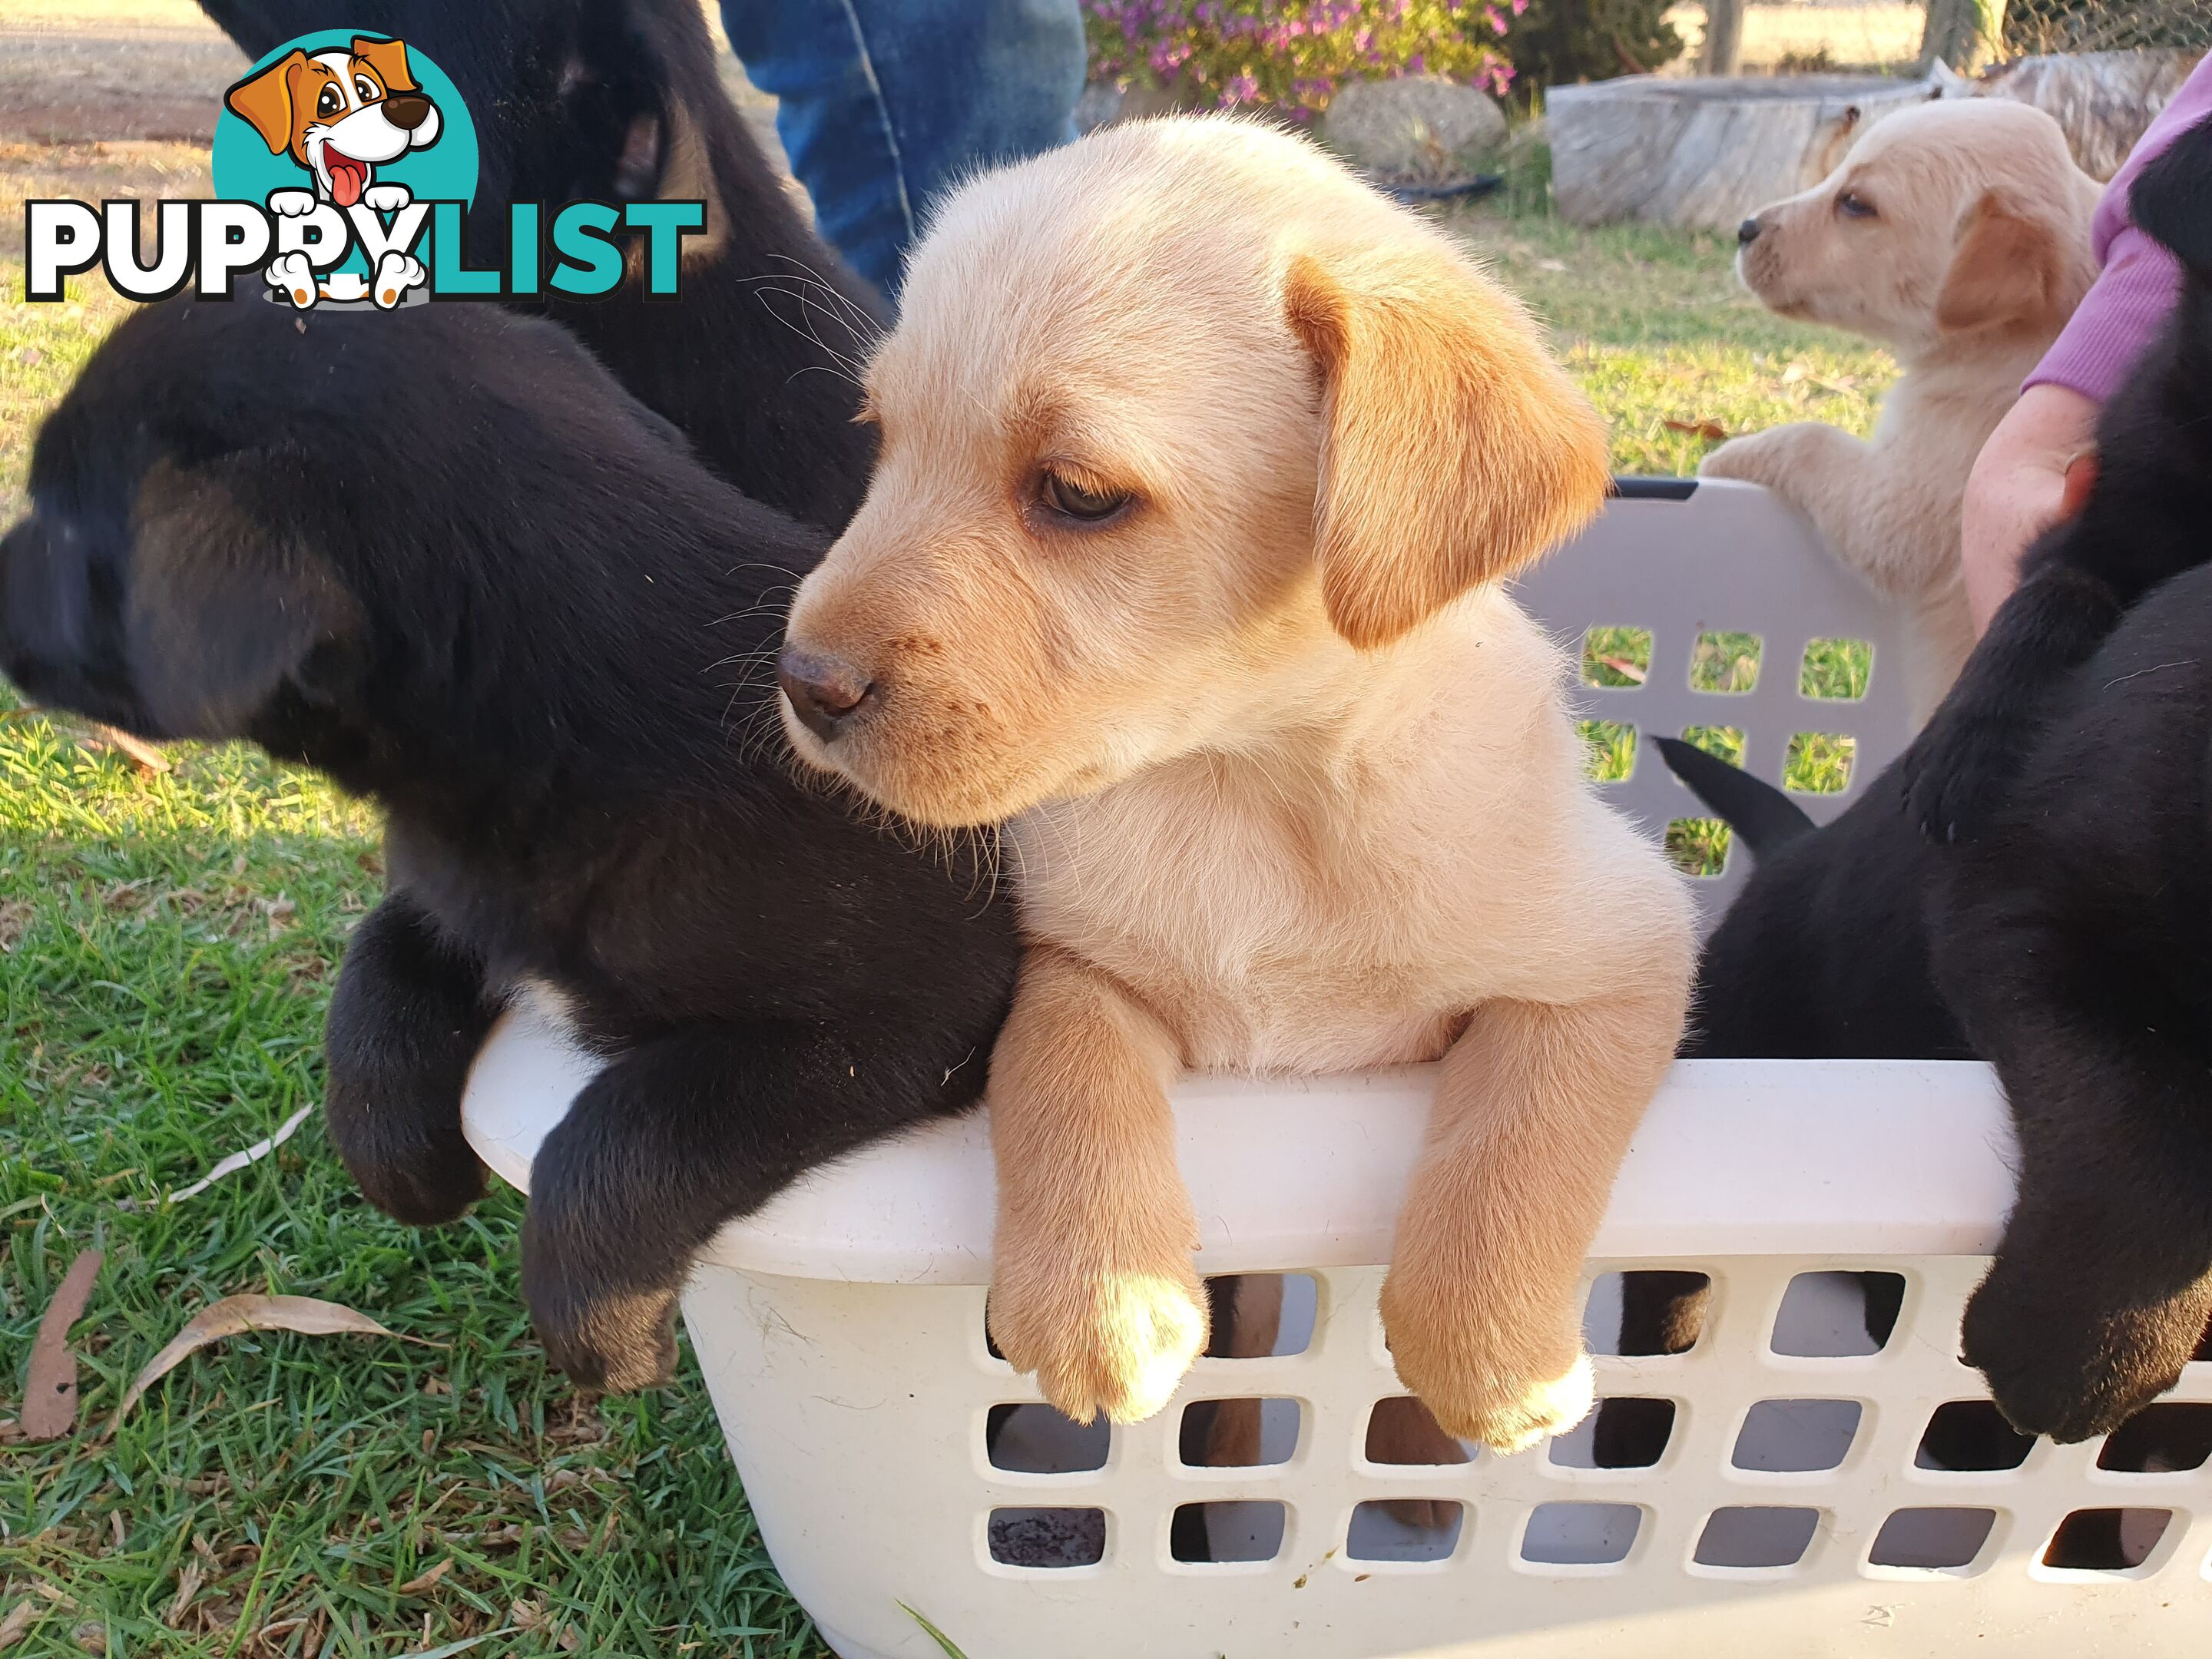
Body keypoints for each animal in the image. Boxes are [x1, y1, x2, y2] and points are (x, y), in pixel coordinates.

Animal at [0, 296, 1017, 1389]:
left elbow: (634, 1121)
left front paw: (601, 1330)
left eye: (60, 518)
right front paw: (399, 1159)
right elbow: (375, 964)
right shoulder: (460, 894)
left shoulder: (902, 1020)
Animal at [778, 117, 1690, 1451]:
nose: (802, 683)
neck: (1249, 785)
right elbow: (1060, 1068)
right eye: (882, 439)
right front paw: (1099, 1301)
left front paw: (1493, 1363)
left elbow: (1518, 1142)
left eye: (1079, 494)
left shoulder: (1623, 952)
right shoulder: (1075, 956)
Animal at [1707, 98, 2088, 720]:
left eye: (1856, 204)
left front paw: (1725, 456)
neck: (2005, 340)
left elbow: (1810, 438)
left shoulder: (1898, 504)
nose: (1743, 228)